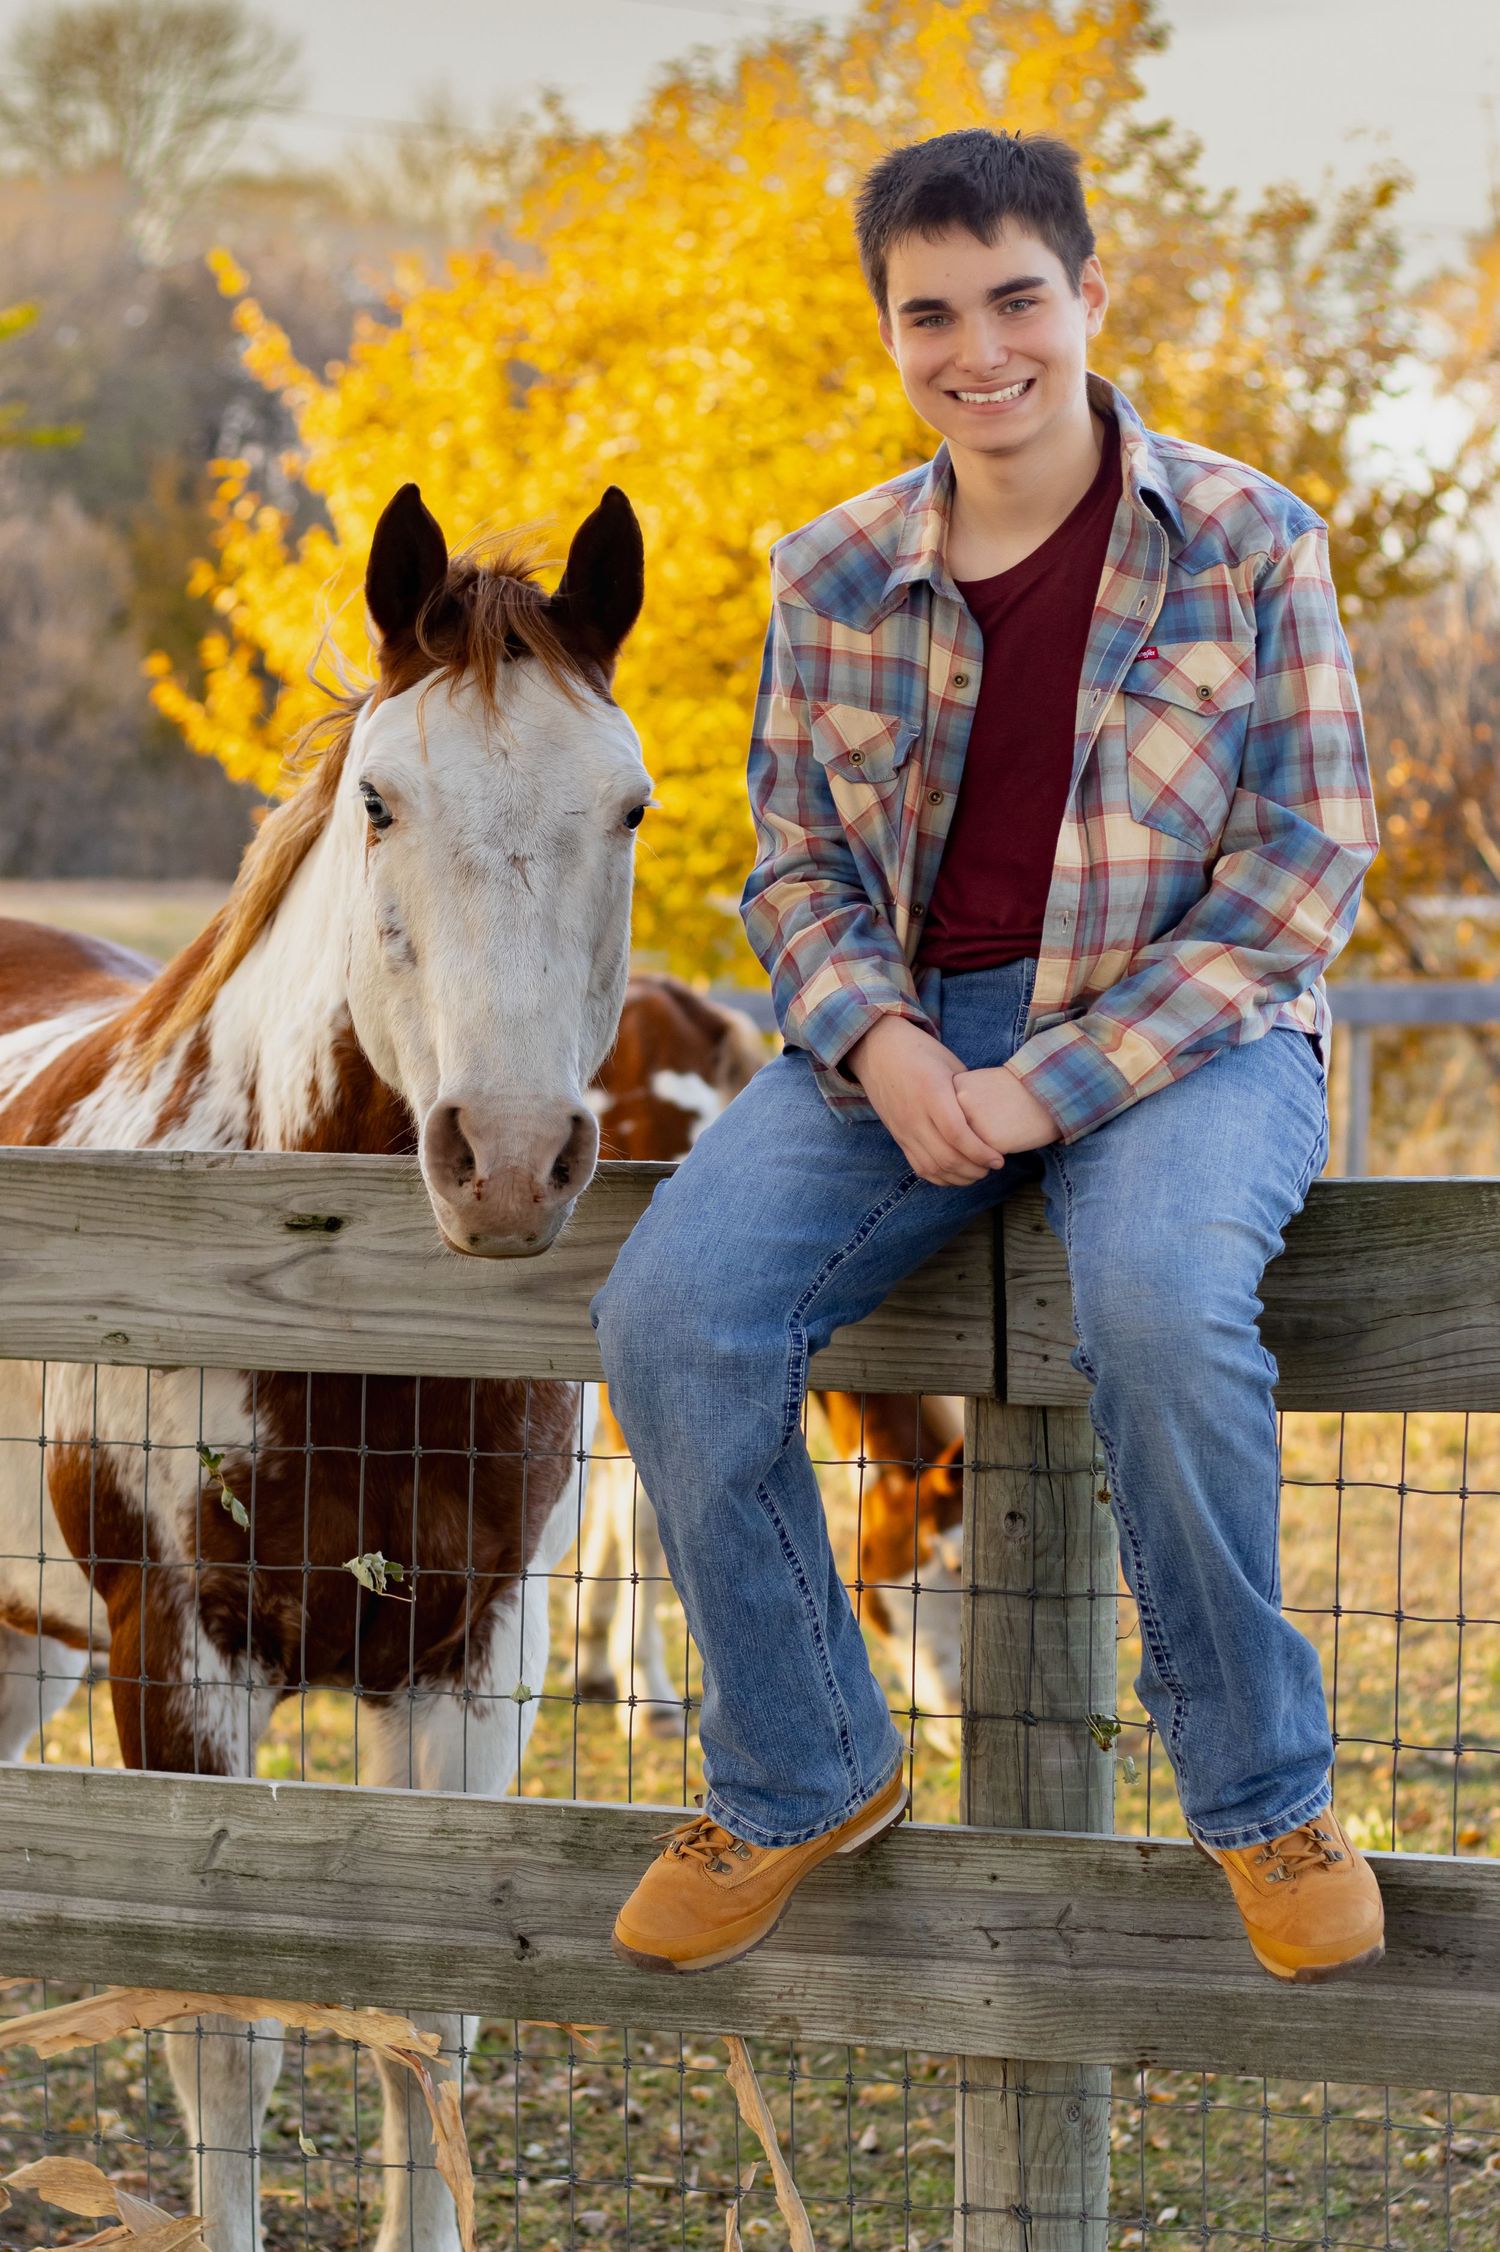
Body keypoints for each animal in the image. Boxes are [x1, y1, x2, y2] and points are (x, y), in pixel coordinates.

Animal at [0, 478, 648, 2252]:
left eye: (630, 807)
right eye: (377, 801)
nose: (508, 1162)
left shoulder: (467, 1669)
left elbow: (421, 2021)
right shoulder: (180, 1667)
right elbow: (230, 2040)